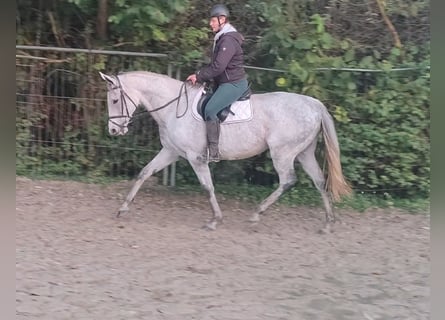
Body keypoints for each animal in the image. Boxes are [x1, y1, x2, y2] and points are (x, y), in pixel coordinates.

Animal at [99, 70, 350, 231]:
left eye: (114, 100)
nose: (113, 130)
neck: (174, 108)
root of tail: (314, 104)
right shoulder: (171, 151)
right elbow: (144, 173)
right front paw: (123, 208)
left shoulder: (195, 158)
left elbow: (207, 187)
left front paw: (214, 220)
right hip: (304, 153)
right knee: (319, 181)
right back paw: (328, 223)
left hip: (283, 153)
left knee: (288, 181)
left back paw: (256, 215)